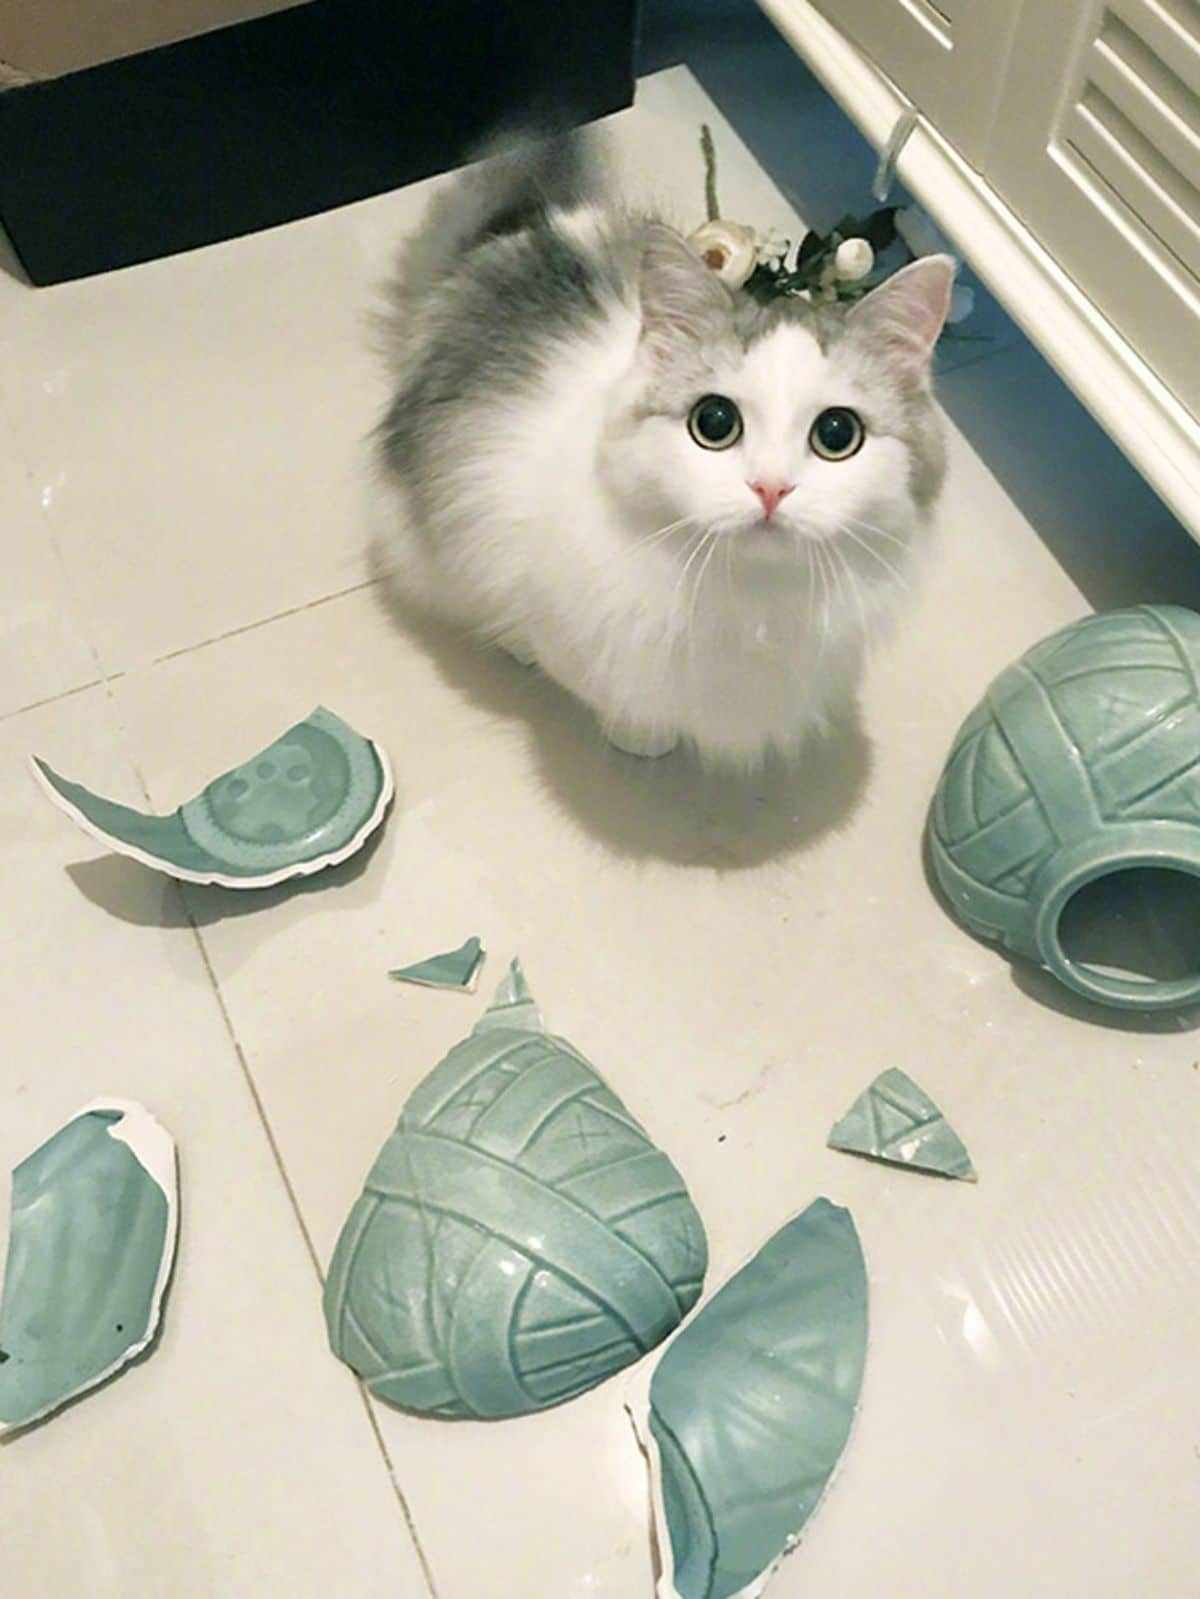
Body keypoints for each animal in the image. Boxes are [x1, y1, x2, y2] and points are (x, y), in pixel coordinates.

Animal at [371, 131, 953, 767]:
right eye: (714, 423)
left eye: (837, 435)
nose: (770, 488)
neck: (753, 600)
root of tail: (516, 235)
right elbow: (610, 694)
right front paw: (641, 740)